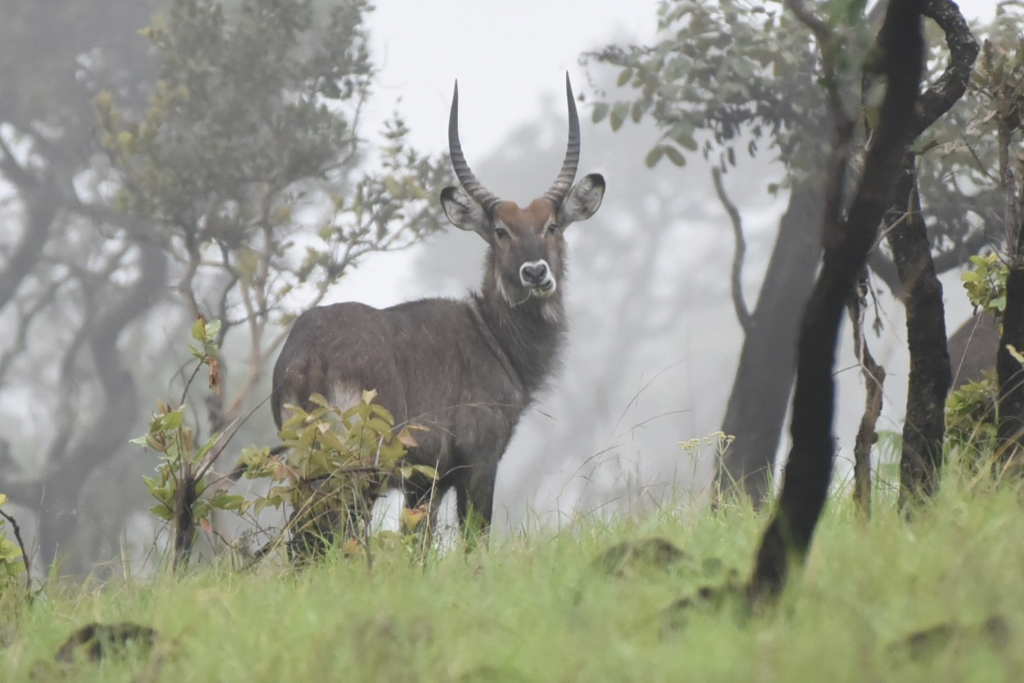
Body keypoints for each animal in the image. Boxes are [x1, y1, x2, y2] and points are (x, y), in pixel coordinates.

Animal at [272, 74, 606, 540]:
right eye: (501, 231)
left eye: (552, 226)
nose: (536, 272)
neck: (491, 335)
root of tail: (307, 357)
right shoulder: (479, 461)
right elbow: (473, 540)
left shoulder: (425, 480)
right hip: (358, 470)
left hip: (308, 464)